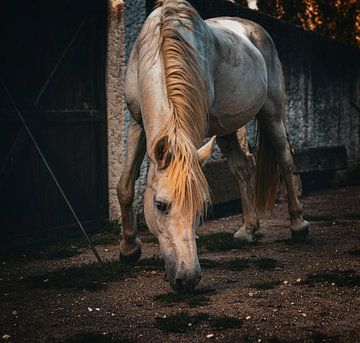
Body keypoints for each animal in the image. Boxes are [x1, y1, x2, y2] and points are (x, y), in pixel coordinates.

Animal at [116, 0, 308, 292]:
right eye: (160, 205)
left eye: (202, 206)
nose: (187, 279)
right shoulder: (138, 124)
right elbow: (125, 186)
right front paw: (128, 250)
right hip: (226, 129)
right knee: (242, 168)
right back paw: (248, 229)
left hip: (272, 113)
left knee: (285, 161)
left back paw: (298, 226)